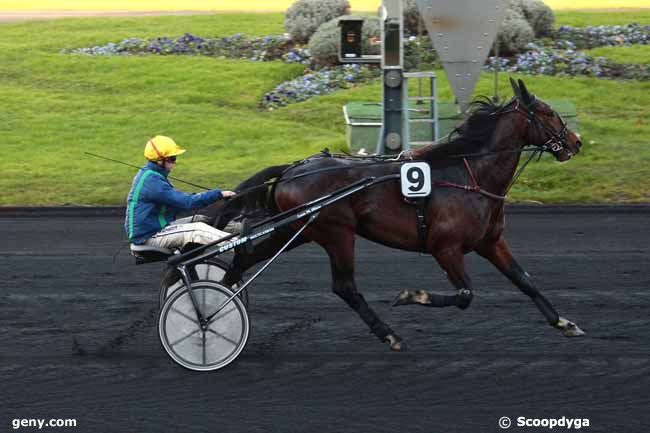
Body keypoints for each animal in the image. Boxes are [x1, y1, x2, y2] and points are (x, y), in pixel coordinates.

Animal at [211, 78, 584, 352]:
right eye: (548, 112)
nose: (577, 142)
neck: (471, 176)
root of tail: (292, 169)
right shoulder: (445, 247)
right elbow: (465, 295)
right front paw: (411, 296)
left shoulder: (490, 242)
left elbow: (524, 280)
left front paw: (564, 323)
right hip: (335, 232)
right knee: (344, 286)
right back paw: (388, 334)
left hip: (297, 230)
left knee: (245, 257)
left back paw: (214, 311)